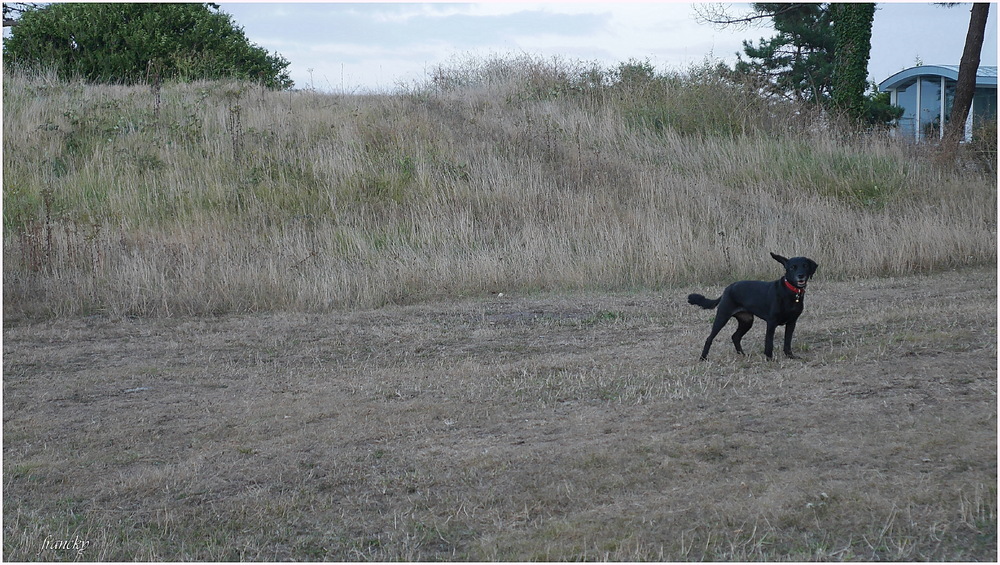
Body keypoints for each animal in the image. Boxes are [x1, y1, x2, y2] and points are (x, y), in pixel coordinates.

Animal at [688, 253, 820, 360]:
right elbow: (769, 342)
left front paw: (790, 356)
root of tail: (727, 289)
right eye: (792, 267)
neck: (791, 292)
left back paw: (742, 354)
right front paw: (769, 358)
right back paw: (703, 358)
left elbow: (787, 341)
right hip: (722, 317)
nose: (801, 275)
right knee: (709, 338)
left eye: (805, 266)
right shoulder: (771, 322)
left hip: (747, 321)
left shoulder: (792, 322)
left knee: (735, 337)